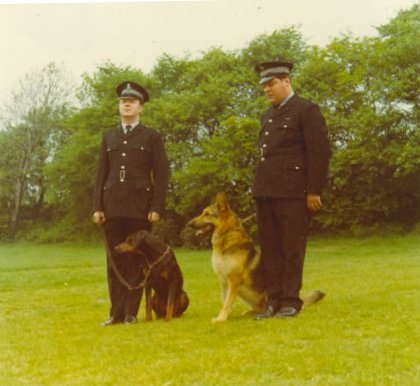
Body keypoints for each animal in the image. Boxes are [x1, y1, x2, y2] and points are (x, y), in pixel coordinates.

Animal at [188, 193, 324, 322]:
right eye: (203, 212)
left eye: (207, 214)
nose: (189, 224)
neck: (227, 236)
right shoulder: (223, 282)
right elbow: (224, 301)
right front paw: (224, 316)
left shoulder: (233, 281)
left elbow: (227, 303)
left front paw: (221, 318)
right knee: (255, 309)